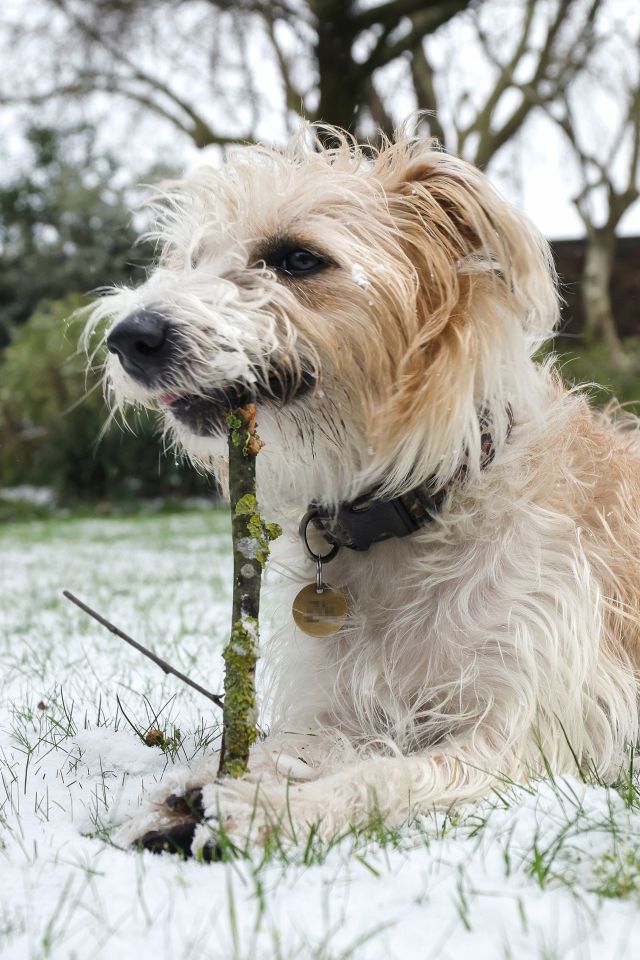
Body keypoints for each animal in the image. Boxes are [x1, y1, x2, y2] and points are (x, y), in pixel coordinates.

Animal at [86, 124, 640, 860]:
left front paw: (274, 811)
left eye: (297, 259)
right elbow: (295, 745)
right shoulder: (341, 706)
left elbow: (387, 777)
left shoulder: (523, 739)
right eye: (195, 258)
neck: (412, 509)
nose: (129, 336)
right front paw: (196, 789)